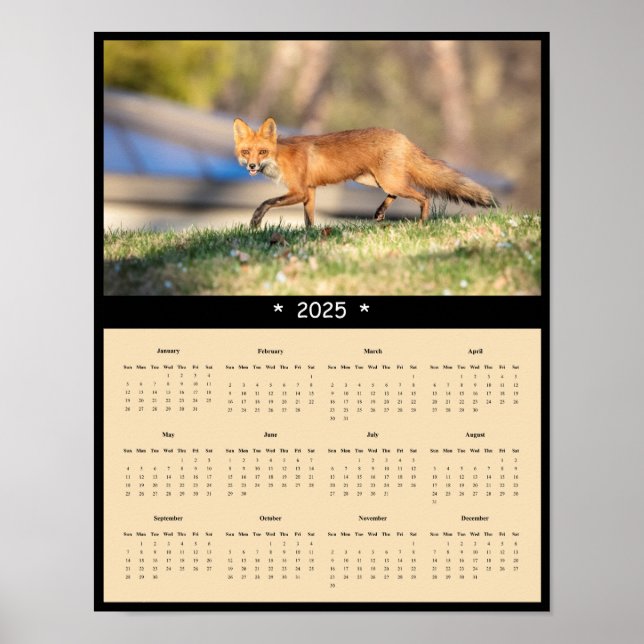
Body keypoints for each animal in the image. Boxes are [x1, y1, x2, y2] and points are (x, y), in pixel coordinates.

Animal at [233, 117, 496, 228]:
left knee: (424, 196)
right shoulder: (310, 192)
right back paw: (380, 212)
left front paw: (255, 220)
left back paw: (422, 223)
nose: (252, 167)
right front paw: (311, 237)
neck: (279, 157)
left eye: (263, 152)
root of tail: (403, 137)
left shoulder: (299, 191)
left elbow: (266, 202)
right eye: (246, 152)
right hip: (373, 181)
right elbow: (309, 220)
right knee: (398, 194)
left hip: (387, 181)